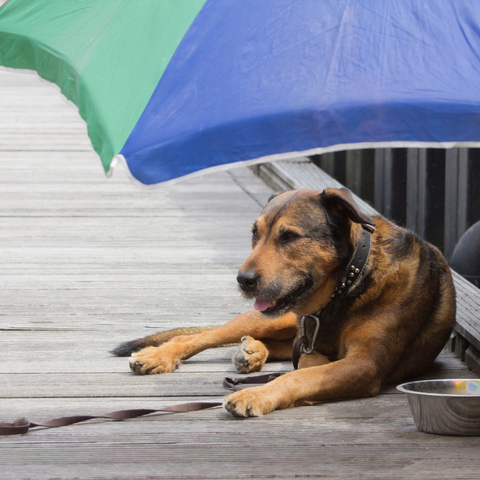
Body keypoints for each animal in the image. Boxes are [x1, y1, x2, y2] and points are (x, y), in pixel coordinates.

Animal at [111, 188, 454, 416]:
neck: (348, 284)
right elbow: (302, 369)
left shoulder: (365, 364)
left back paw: (251, 352)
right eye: (254, 233)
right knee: (197, 336)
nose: (243, 280)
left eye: (289, 236)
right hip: (270, 318)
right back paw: (160, 355)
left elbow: (299, 374)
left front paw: (257, 394)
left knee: (279, 346)